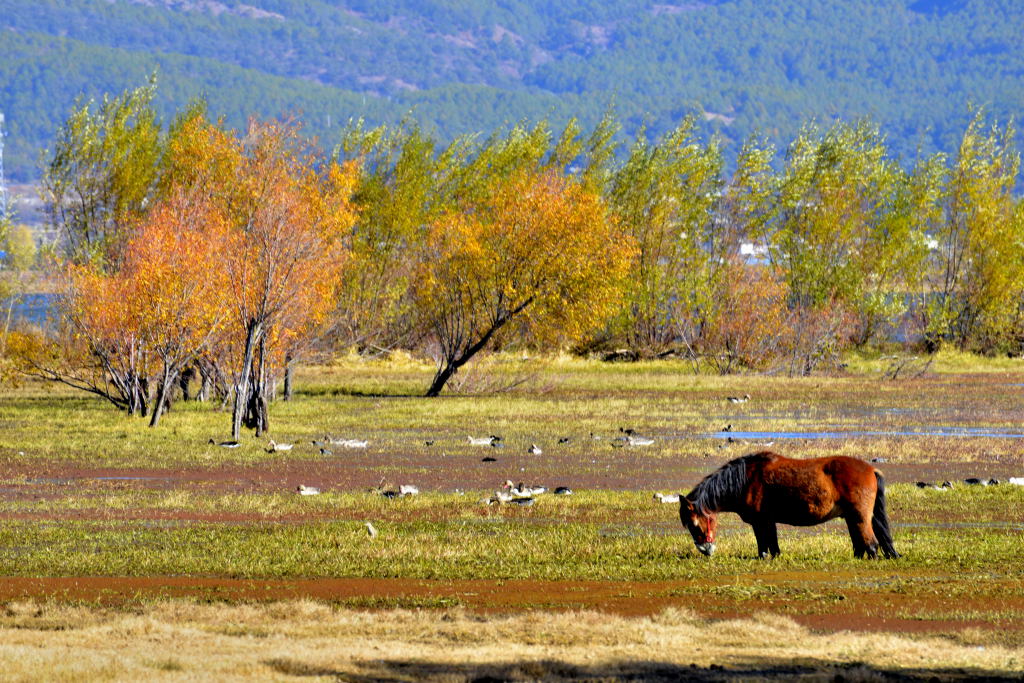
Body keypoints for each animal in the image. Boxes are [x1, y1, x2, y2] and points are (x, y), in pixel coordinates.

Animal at [684, 450, 901, 557]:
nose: (705, 550)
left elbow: (764, 545)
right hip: (852, 518)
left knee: (871, 545)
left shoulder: (760, 521)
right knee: (860, 545)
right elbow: (773, 544)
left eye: (694, 524)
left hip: (860, 517)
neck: (745, 479)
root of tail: (871, 469)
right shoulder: (769, 521)